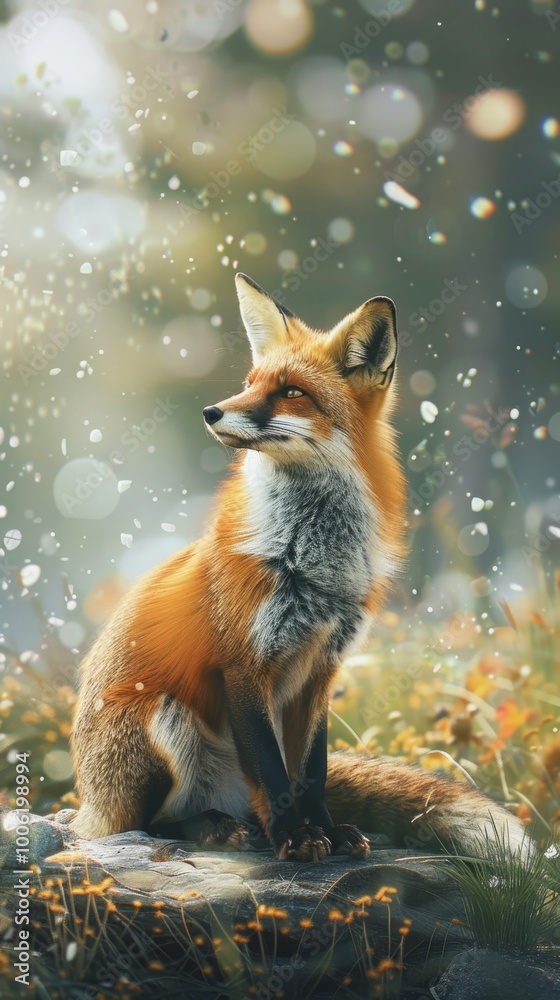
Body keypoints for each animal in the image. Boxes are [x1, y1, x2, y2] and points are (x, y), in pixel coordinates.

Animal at [71, 273, 530, 862]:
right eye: (248, 383)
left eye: (291, 391)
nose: (212, 412)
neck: (311, 560)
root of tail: (89, 801)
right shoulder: (243, 664)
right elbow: (272, 770)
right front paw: (294, 838)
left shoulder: (321, 668)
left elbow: (311, 771)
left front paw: (327, 832)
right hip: (161, 719)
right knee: (147, 825)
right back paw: (214, 827)